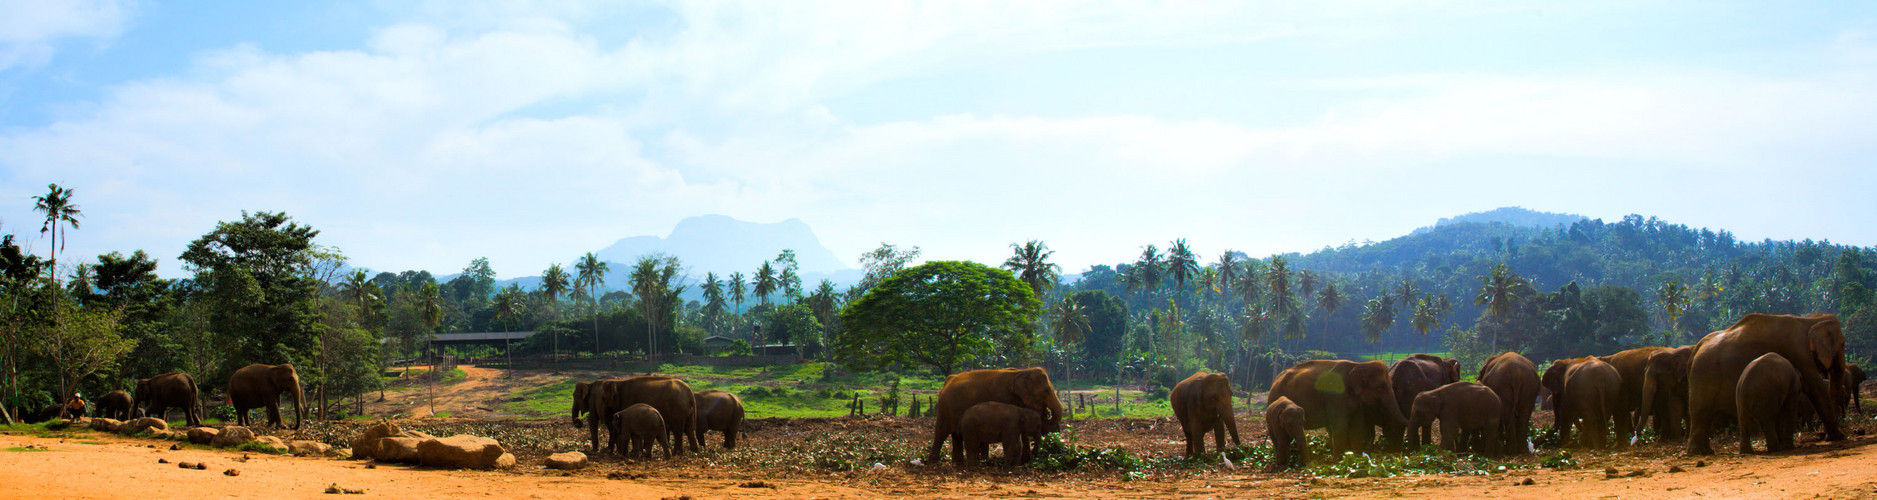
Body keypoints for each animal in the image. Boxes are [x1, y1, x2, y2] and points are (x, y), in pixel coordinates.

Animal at [927, 366, 1066, 464]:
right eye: (1046, 390)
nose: (1047, 412)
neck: (1021, 371)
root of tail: (948, 380)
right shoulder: (1004, 397)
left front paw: (1024, 461)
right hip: (944, 408)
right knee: (941, 433)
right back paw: (933, 463)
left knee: (956, 435)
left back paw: (959, 463)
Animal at [1261, 359, 1411, 453]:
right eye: (1381, 387)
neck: (1358, 365)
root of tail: (1275, 380)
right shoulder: (1335, 396)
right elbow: (1341, 426)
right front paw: (1338, 461)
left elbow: (1357, 427)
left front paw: (1357, 459)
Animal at [1689, 313, 1846, 454]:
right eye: (1843, 343)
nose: (1822, 435)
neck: (1809, 320)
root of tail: (1696, 349)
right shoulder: (1799, 352)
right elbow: (1816, 388)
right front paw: (1838, 437)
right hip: (1704, 375)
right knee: (1702, 412)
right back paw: (1701, 452)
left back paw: (1706, 452)